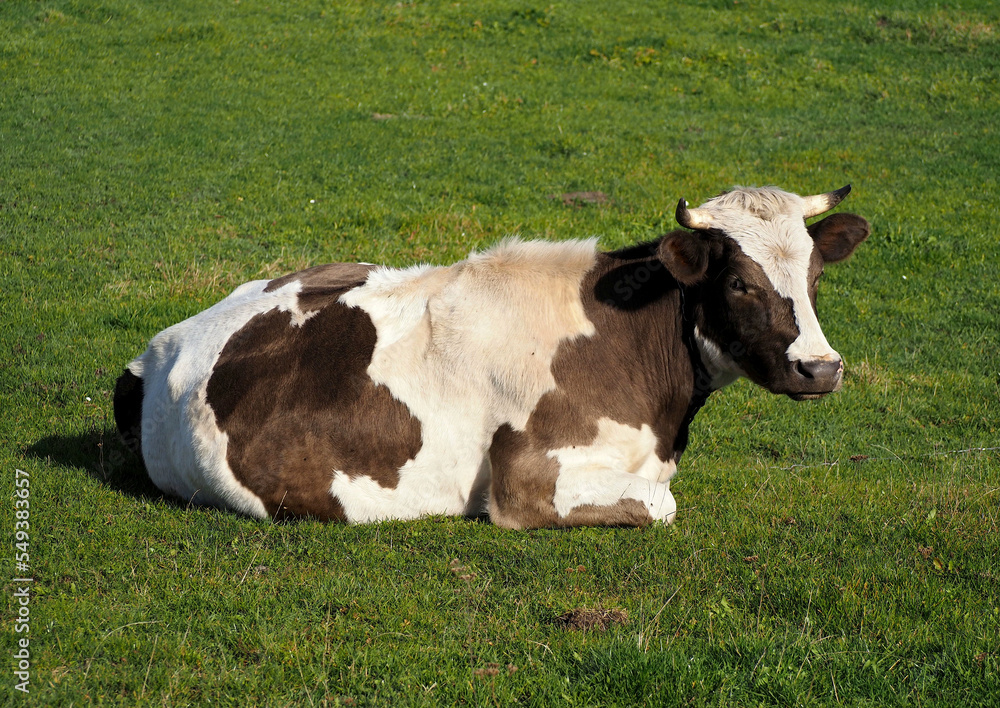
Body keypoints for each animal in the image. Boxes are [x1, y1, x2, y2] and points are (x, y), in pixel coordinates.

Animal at [115, 185, 868, 528]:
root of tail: (164, 343)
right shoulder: (527, 480)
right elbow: (661, 504)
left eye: (814, 276)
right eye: (739, 282)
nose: (821, 368)